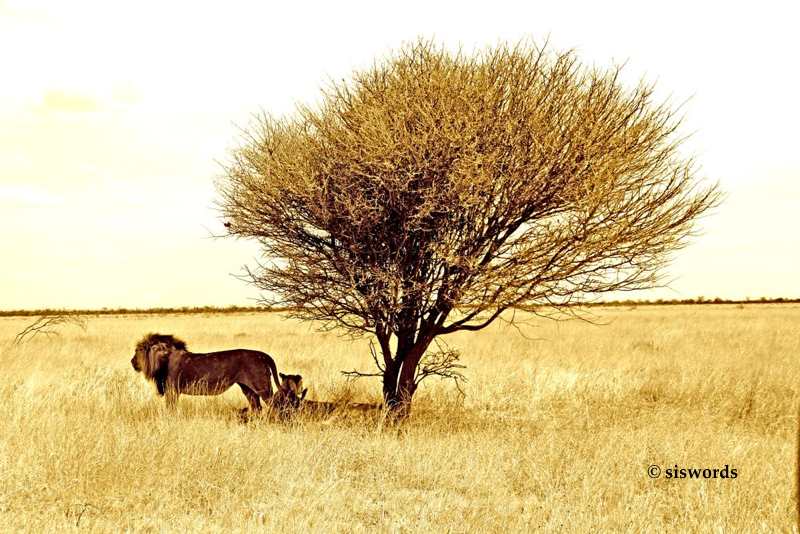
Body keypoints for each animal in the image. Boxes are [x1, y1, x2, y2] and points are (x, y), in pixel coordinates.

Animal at [130, 336, 296, 414]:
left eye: (138, 351)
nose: (132, 362)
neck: (164, 359)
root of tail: (262, 355)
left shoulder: (172, 390)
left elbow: (170, 407)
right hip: (248, 389)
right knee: (257, 407)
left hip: (262, 387)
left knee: (276, 405)